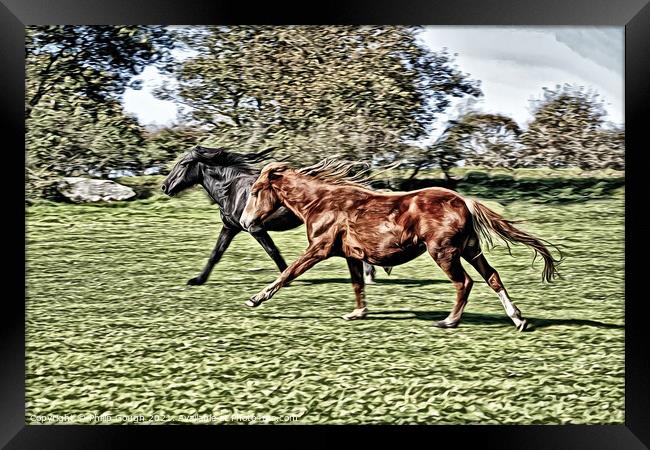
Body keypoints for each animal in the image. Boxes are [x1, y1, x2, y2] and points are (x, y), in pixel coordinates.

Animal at [161, 147, 382, 284]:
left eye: (183, 164)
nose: (164, 187)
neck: (232, 190)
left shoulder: (255, 228)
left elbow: (273, 251)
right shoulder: (230, 227)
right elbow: (216, 253)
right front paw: (197, 280)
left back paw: (370, 275)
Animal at [240, 158, 560, 330]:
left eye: (255, 191)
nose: (244, 221)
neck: (321, 203)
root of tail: (464, 202)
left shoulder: (318, 249)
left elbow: (288, 273)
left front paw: (255, 298)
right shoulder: (351, 255)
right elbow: (357, 284)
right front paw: (358, 313)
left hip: (444, 252)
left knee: (464, 282)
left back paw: (449, 321)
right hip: (470, 249)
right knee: (492, 277)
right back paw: (518, 319)